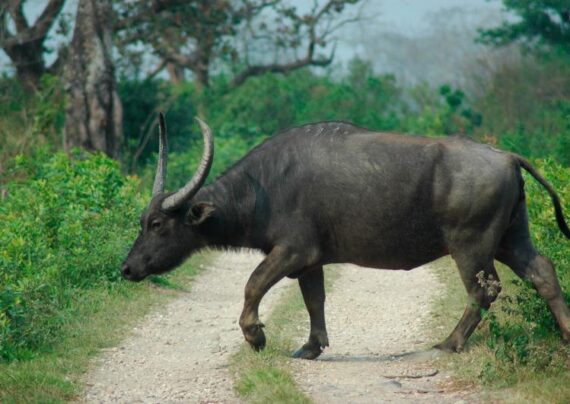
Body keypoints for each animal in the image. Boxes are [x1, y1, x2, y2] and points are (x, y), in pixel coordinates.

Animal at [123, 113, 568, 356]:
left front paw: (255, 336)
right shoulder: (311, 262)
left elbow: (253, 284)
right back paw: (565, 334)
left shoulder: (292, 252)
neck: (264, 187)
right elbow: (314, 300)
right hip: (511, 237)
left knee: (484, 289)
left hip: (471, 247)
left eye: (156, 224)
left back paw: (449, 342)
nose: (127, 268)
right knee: (543, 272)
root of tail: (507, 156)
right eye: (143, 221)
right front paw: (311, 347)